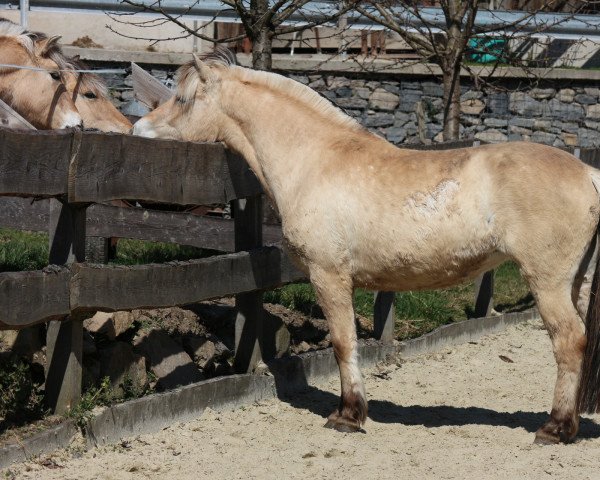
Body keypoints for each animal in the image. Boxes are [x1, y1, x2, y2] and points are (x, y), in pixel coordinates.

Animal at [132, 51, 600, 442]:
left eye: (183, 99)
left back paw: (554, 428)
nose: (138, 129)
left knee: (569, 341)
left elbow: (344, 343)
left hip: (548, 282)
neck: (315, 159)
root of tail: (588, 172)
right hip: (578, 281)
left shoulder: (329, 277)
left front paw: (348, 415)